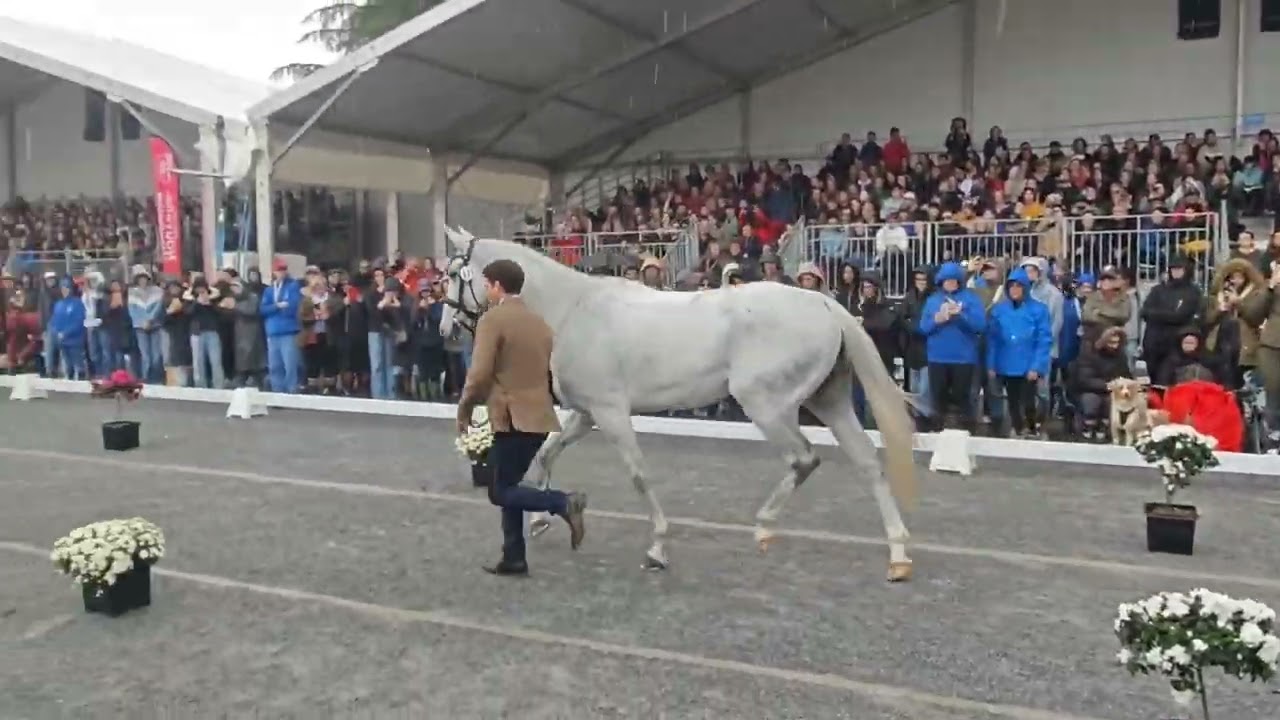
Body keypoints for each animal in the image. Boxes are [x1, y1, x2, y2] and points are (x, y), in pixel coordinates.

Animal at [437, 227, 919, 582]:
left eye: (453, 272)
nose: (446, 328)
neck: (573, 311)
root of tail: (823, 302)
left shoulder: (611, 412)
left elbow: (638, 476)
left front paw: (657, 548)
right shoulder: (587, 414)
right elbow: (545, 454)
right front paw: (540, 519)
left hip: (766, 403)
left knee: (804, 459)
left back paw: (764, 528)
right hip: (830, 400)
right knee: (867, 464)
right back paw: (897, 557)